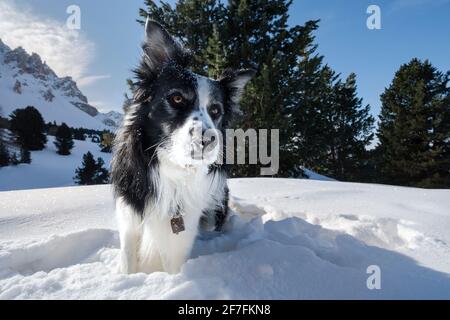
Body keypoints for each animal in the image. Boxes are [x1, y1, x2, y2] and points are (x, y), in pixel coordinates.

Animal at [110, 18, 255, 274]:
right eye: (177, 98)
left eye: (215, 110)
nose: (208, 140)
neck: (173, 170)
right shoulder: (130, 218)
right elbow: (128, 260)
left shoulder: (181, 235)